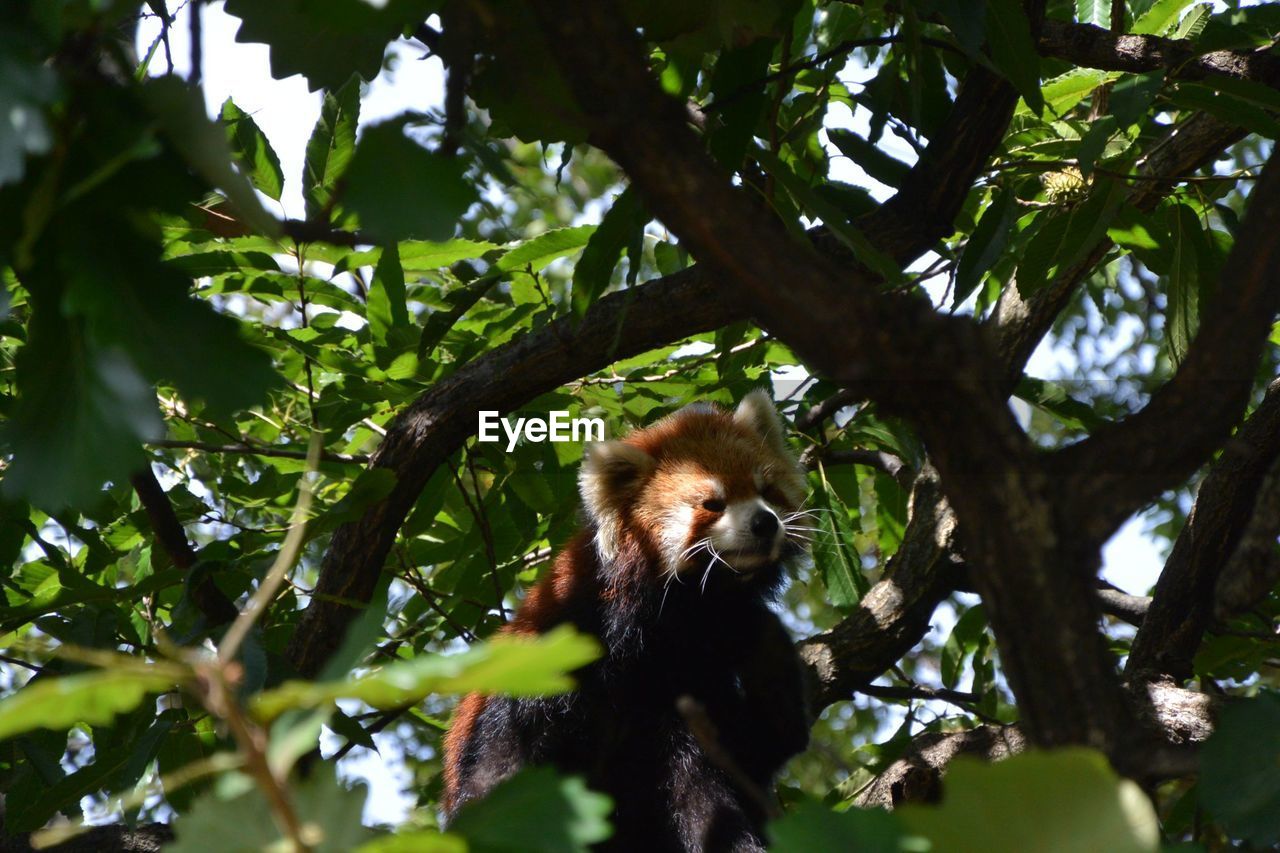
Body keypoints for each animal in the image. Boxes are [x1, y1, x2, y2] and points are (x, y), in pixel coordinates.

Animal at [440, 391, 808, 850]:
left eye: (765, 490)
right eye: (713, 503)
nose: (765, 522)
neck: (689, 609)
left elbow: (750, 750)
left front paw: (773, 664)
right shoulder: (562, 642)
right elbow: (507, 762)